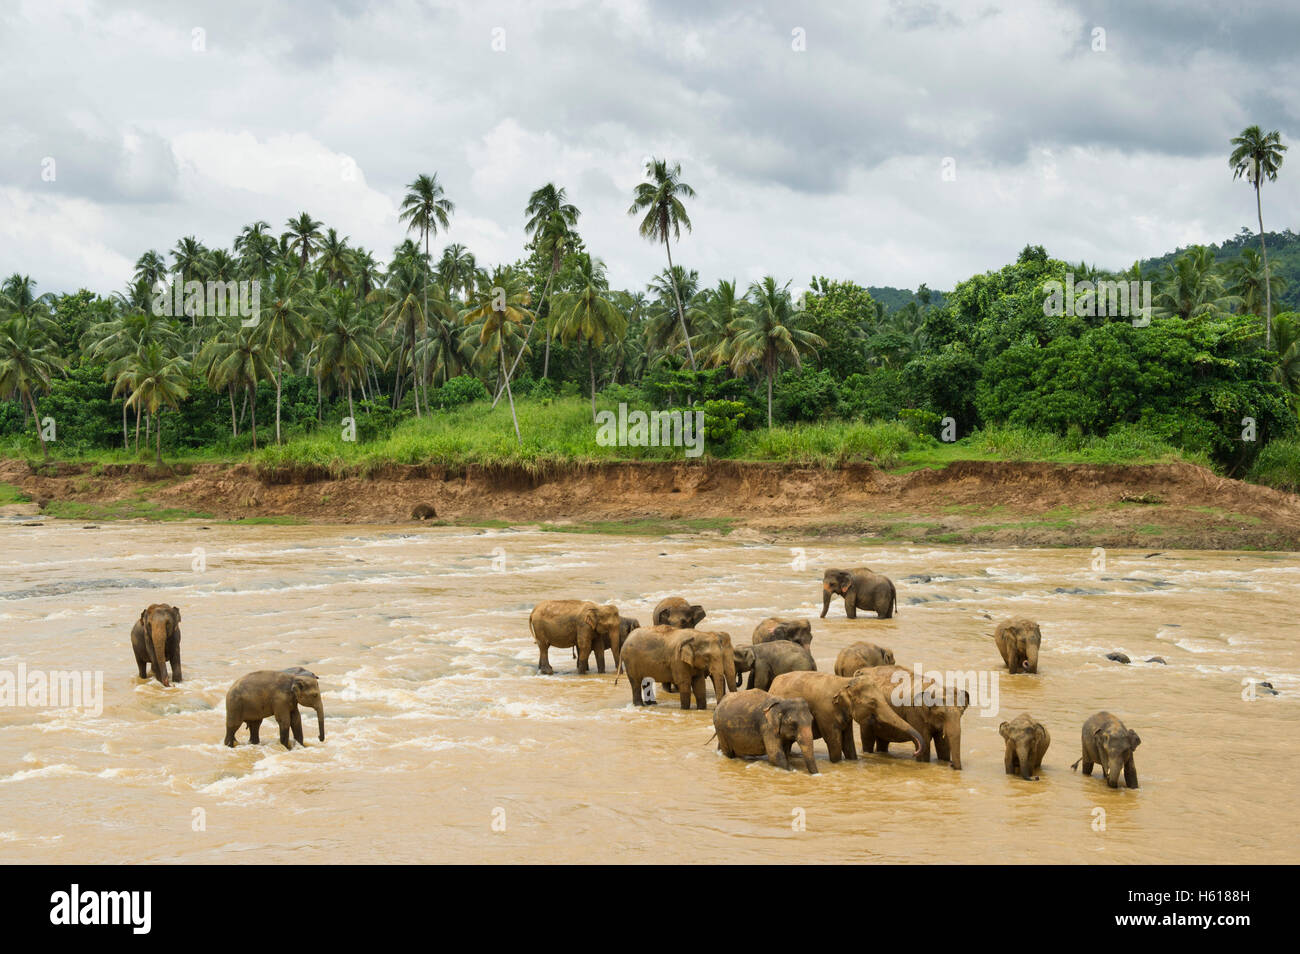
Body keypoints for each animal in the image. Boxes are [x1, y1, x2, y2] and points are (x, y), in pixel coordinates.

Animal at [764, 670, 920, 769]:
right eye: (872, 703)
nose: (914, 752)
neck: (845, 681)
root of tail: (772, 685)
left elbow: (848, 742)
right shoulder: (825, 711)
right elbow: (834, 742)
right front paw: (838, 763)